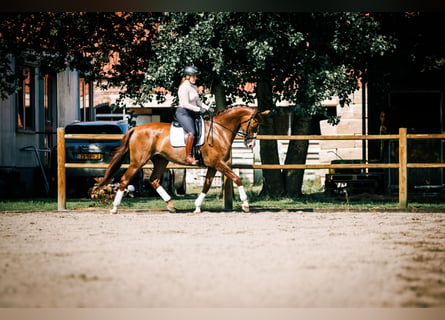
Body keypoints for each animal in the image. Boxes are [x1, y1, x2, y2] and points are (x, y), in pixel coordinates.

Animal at [96, 106, 268, 214]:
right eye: (255, 124)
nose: (250, 144)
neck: (219, 131)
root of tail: (136, 128)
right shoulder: (219, 163)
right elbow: (237, 178)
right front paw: (245, 205)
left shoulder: (213, 165)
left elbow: (206, 185)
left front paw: (197, 207)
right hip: (138, 161)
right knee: (125, 180)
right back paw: (114, 208)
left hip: (160, 160)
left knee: (154, 180)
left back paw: (171, 206)